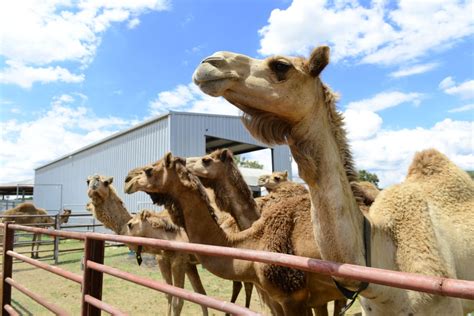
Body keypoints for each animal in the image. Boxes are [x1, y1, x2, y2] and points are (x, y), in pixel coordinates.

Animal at [86, 175, 208, 316]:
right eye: (87, 181)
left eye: (105, 182)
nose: (92, 187)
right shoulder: (177, 261)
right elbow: (178, 295)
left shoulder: (178, 260)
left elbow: (178, 301)